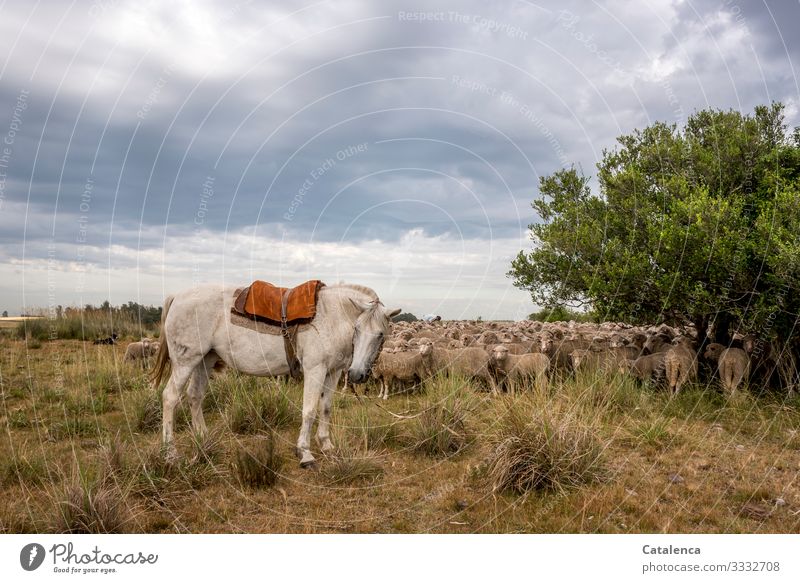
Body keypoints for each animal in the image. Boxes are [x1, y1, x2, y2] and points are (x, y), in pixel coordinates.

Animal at [150, 280, 400, 468]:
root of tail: (177, 297)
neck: (331, 316)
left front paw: (326, 445)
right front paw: (305, 453)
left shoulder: (334, 372)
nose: (357, 374)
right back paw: (170, 454)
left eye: (380, 334)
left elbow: (326, 408)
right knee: (170, 397)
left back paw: (204, 437)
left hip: (205, 359)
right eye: (357, 328)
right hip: (185, 361)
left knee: (195, 395)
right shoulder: (315, 369)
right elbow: (310, 411)